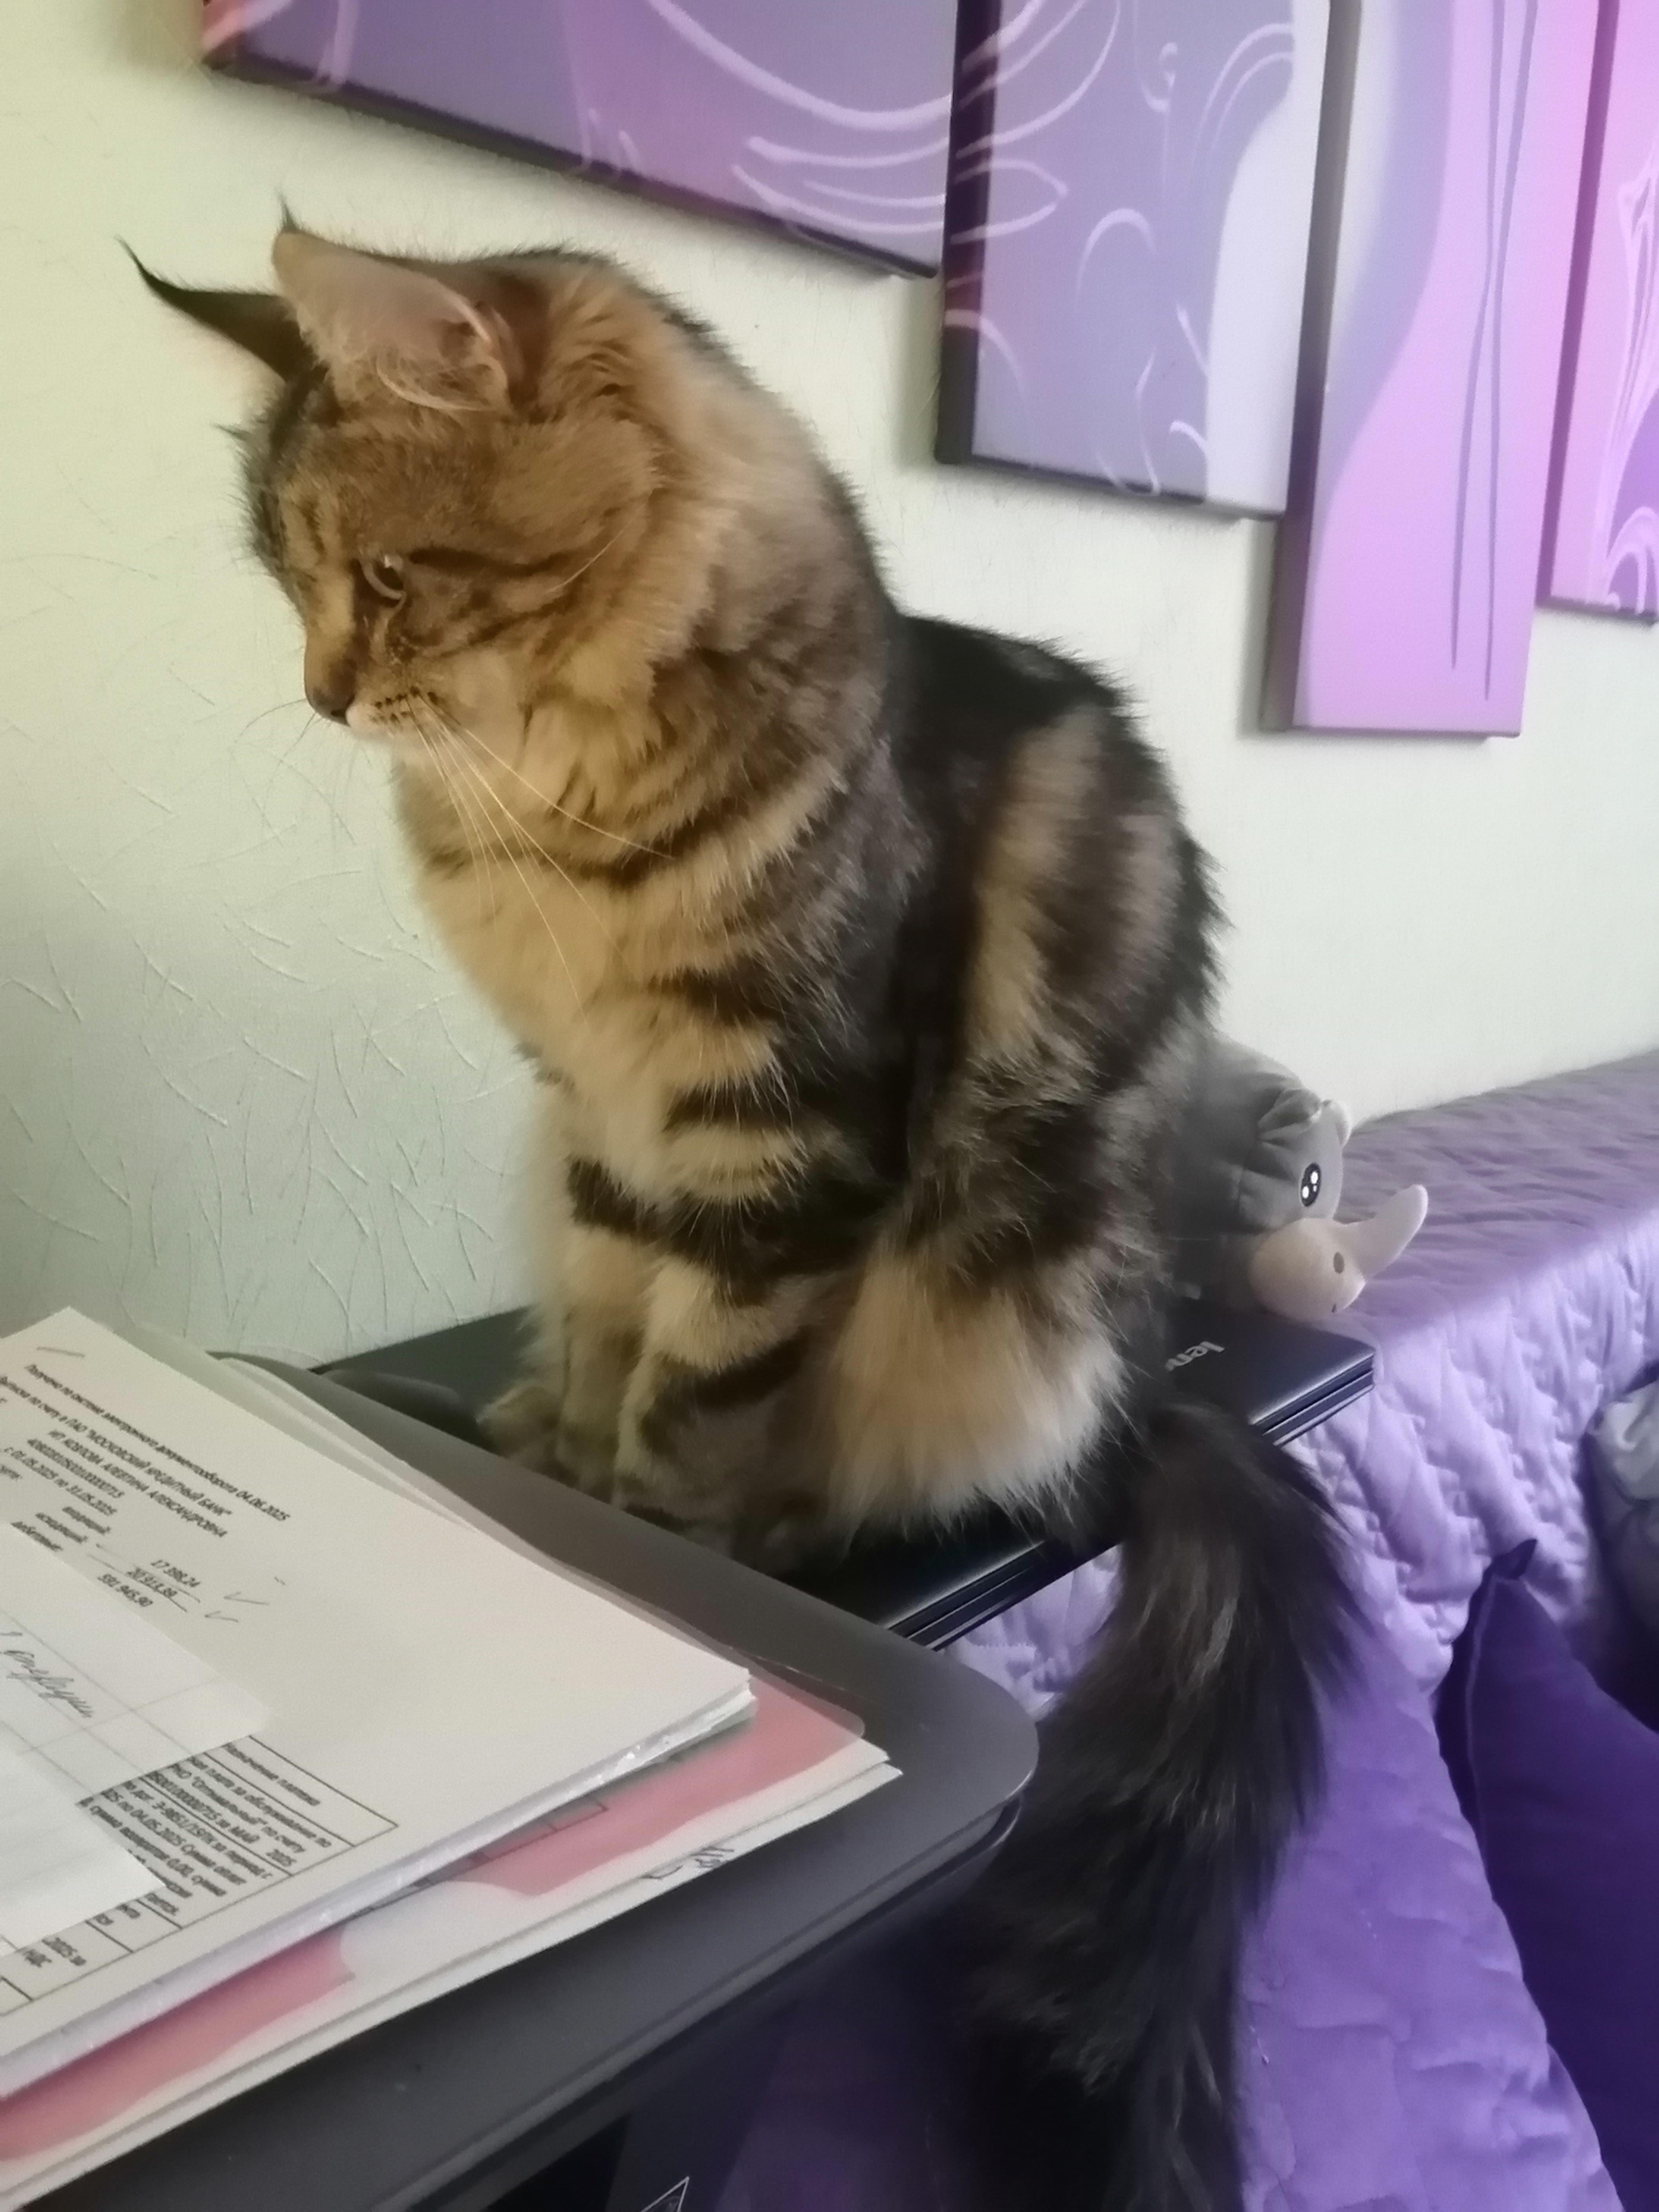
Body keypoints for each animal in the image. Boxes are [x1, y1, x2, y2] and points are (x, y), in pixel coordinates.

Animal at [145, 232, 1352, 2212]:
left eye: (386, 581)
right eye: (286, 585)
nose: (322, 697)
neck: (554, 822)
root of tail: (1138, 1403)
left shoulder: (783, 1147)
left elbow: (690, 1407)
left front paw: (658, 1549)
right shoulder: (599, 1131)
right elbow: (606, 1336)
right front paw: (551, 1469)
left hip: (986, 1309)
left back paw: (801, 1523)